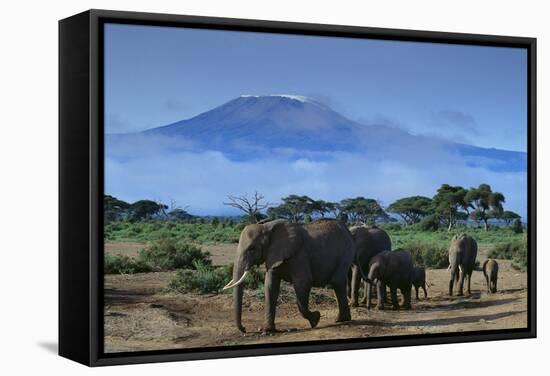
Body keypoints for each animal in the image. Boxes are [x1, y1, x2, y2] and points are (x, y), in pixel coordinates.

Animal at [223, 219, 356, 334]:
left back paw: (341, 320)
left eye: (252, 249)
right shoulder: (273, 256)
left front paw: (315, 319)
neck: (266, 227)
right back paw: (342, 320)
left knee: (337, 282)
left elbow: (303, 283)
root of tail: (347, 230)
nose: (245, 329)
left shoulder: (299, 255)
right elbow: (270, 287)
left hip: (346, 252)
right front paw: (267, 330)